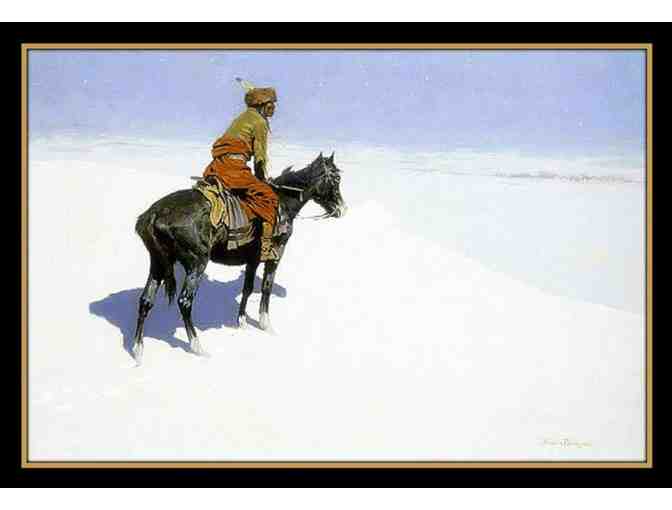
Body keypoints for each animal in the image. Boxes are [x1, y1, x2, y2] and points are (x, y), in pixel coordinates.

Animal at [132, 152, 346, 363]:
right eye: (336, 179)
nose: (341, 208)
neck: (283, 202)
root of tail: (154, 214)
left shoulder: (252, 261)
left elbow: (248, 288)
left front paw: (241, 321)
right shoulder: (275, 256)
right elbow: (266, 287)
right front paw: (265, 324)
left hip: (158, 264)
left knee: (145, 301)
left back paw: (137, 349)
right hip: (197, 264)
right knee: (185, 302)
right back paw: (197, 346)